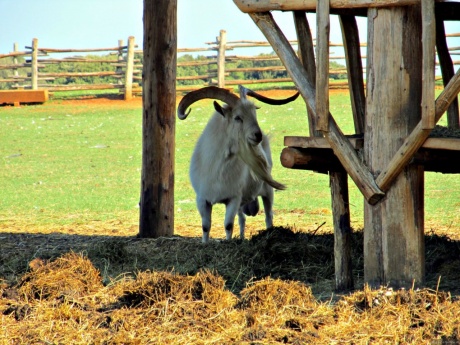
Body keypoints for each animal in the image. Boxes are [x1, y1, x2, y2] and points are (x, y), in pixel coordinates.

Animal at [176, 85, 298, 242]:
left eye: (254, 114)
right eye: (237, 117)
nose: (258, 136)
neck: (217, 169)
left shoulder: (233, 199)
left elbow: (228, 225)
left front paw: (228, 242)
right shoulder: (203, 199)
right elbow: (205, 226)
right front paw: (205, 243)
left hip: (267, 191)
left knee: (268, 216)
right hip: (242, 203)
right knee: (242, 219)